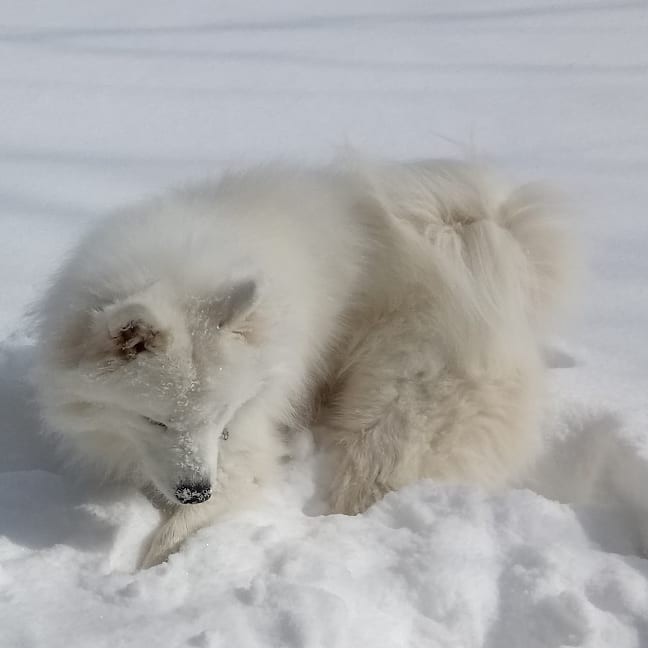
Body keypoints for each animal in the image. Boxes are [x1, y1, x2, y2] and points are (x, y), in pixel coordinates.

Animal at [33, 158, 576, 568]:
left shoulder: (247, 441)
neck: (177, 266)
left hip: (393, 417)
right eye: (155, 420)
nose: (196, 492)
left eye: (221, 417)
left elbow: (201, 512)